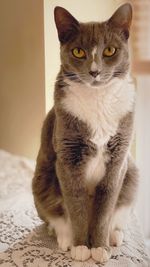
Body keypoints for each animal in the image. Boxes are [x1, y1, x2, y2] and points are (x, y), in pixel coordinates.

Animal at [32, 3, 139, 264]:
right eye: (78, 52)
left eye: (109, 50)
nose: (94, 71)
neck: (97, 99)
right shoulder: (68, 158)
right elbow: (76, 205)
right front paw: (81, 246)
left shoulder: (118, 161)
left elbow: (104, 210)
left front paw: (99, 247)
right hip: (42, 180)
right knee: (55, 215)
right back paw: (66, 238)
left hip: (132, 175)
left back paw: (114, 236)